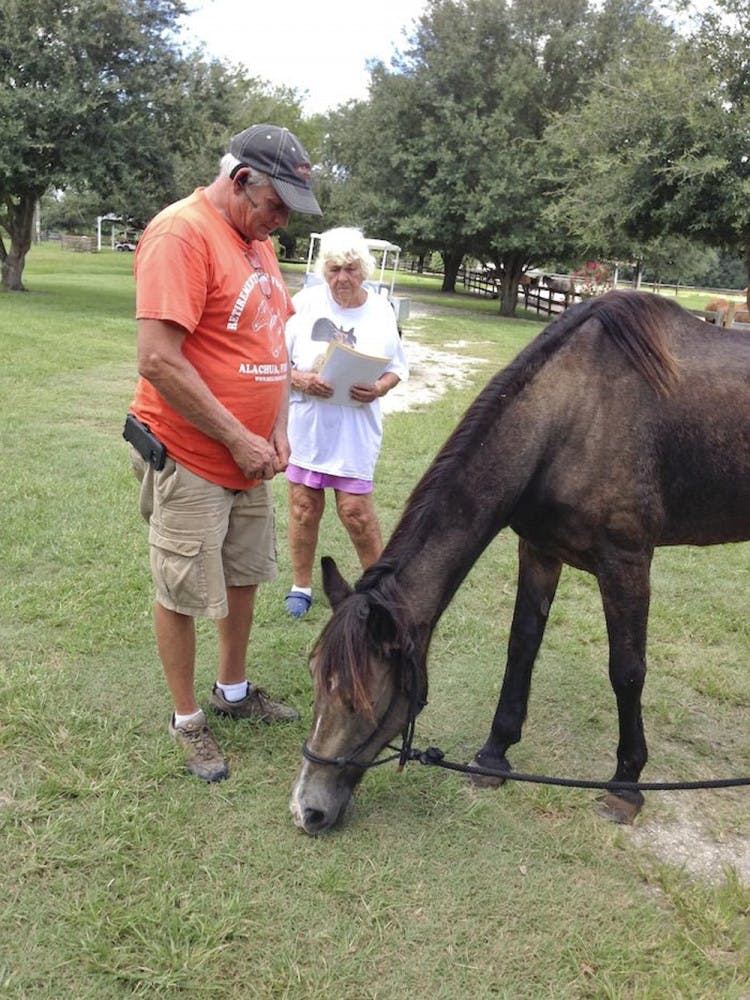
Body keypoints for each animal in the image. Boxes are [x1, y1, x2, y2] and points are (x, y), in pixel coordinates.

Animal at [290, 290, 750, 835]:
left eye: (359, 699)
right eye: (314, 679)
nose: (306, 809)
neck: (575, 415)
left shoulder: (627, 562)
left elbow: (627, 670)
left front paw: (626, 785)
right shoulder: (539, 550)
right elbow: (522, 646)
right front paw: (494, 756)